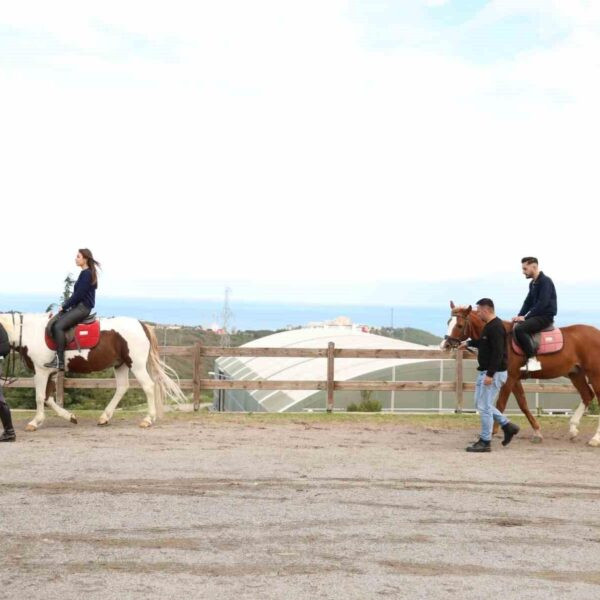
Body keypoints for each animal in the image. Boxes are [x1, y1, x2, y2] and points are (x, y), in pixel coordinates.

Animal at [0, 314, 188, 432]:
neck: (30, 332)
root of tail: (141, 325)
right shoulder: (49, 373)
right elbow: (48, 398)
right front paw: (70, 417)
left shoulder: (41, 372)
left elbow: (40, 397)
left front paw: (35, 422)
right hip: (120, 365)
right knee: (122, 387)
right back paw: (105, 417)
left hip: (137, 365)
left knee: (148, 386)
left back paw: (148, 419)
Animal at [440, 300, 600, 446]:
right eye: (448, 322)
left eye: (459, 325)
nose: (445, 345)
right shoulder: (515, 379)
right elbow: (523, 404)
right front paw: (537, 432)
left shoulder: (509, 378)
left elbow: (500, 404)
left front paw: (492, 432)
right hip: (576, 374)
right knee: (587, 395)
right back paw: (573, 429)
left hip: (594, 374)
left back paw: (595, 438)